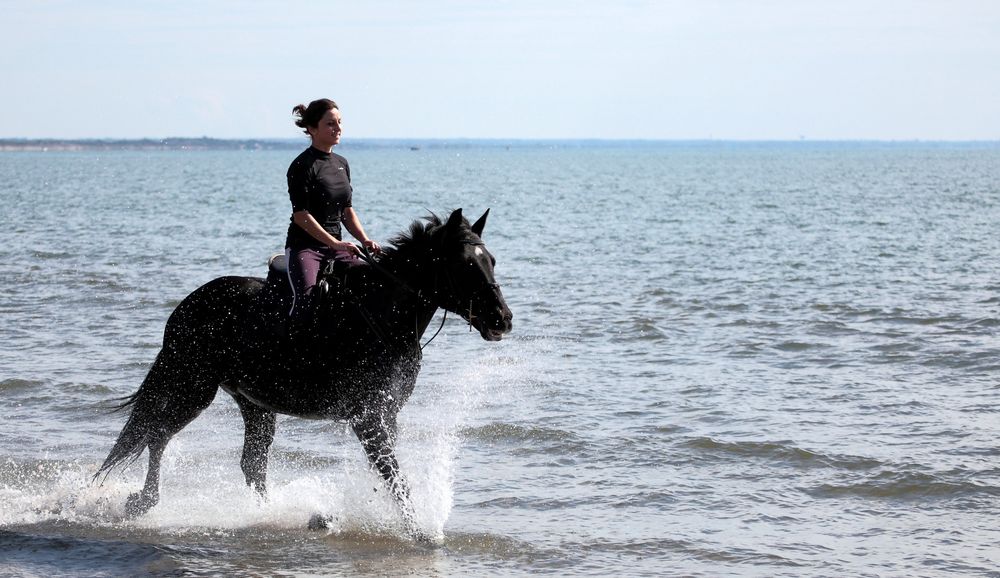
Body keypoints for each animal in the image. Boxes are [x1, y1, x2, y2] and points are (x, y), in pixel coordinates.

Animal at [94, 207, 512, 536]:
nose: (503, 319)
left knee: (252, 463)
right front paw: (422, 532)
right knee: (158, 435)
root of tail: (184, 307)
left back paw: (273, 515)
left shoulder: (386, 414)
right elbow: (394, 477)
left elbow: (387, 473)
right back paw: (143, 502)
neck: (381, 316)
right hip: (193, 388)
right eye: (466, 265)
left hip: (254, 402)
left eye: (491, 260)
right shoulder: (368, 417)